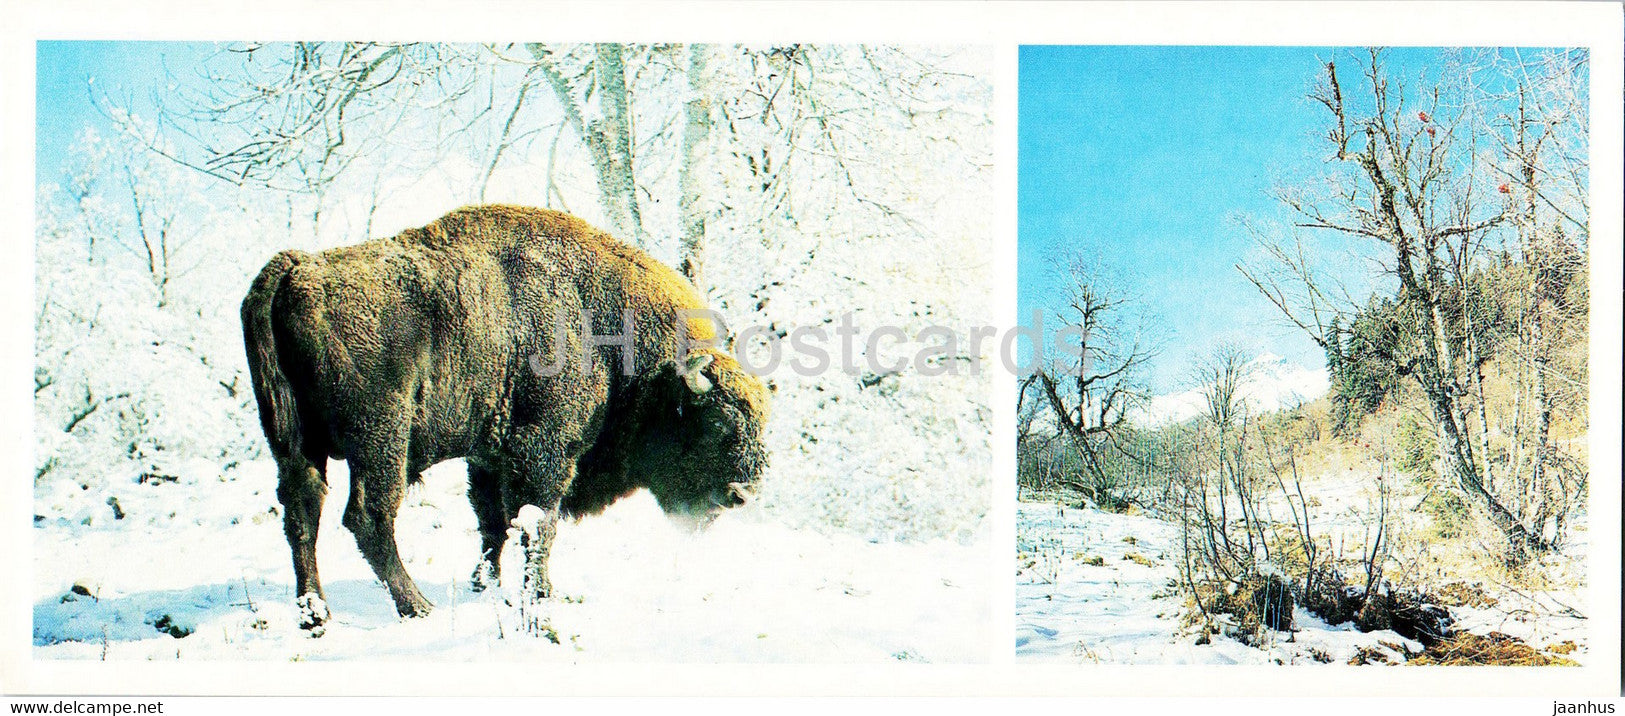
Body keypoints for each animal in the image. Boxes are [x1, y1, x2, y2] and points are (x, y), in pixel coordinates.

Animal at [241, 205, 769, 634]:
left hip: (294, 443)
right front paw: (540, 593)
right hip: (382, 439)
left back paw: (315, 614)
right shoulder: (544, 452)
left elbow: (493, 522)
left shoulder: (488, 457)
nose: (742, 494)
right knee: (369, 517)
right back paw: (417, 607)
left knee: (302, 512)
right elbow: (538, 525)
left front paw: (486, 584)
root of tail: (295, 269)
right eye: (717, 425)